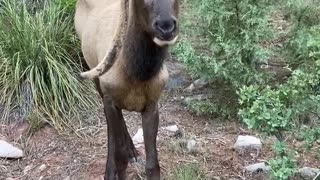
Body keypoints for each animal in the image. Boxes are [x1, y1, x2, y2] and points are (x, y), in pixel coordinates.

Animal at [74, 0, 181, 179]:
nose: (166, 27)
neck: (136, 74)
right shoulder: (110, 99)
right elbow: (120, 159)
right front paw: (113, 169)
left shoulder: (152, 105)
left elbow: (152, 165)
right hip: (95, 77)